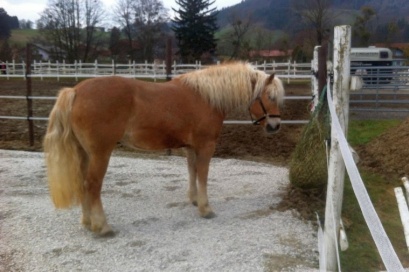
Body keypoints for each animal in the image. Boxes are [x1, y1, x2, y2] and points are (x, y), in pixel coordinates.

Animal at [43, 61, 284, 236]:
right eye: (270, 96)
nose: (275, 126)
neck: (205, 96)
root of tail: (75, 91)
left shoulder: (190, 147)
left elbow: (192, 171)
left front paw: (194, 199)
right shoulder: (206, 146)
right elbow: (203, 175)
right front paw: (205, 208)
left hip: (84, 153)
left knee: (82, 183)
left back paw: (86, 221)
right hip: (100, 153)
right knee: (92, 185)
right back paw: (102, 227)